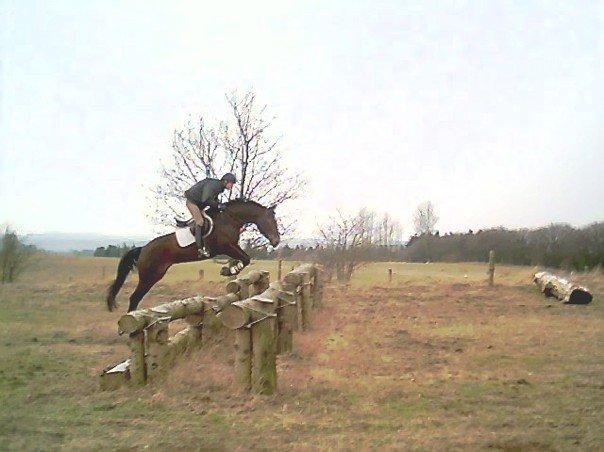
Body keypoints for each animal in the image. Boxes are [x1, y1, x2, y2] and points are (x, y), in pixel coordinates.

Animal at [105, 200, 280, 312]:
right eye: (271, 221)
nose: (276, 241)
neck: (229, 218)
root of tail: (143, 249)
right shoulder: (225, 246)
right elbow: (246, 258)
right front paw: (229, 270)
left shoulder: (230, 247)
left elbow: (244, 258)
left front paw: (229, 269)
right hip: (149, 276)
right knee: (134, 298)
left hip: (154, 275)